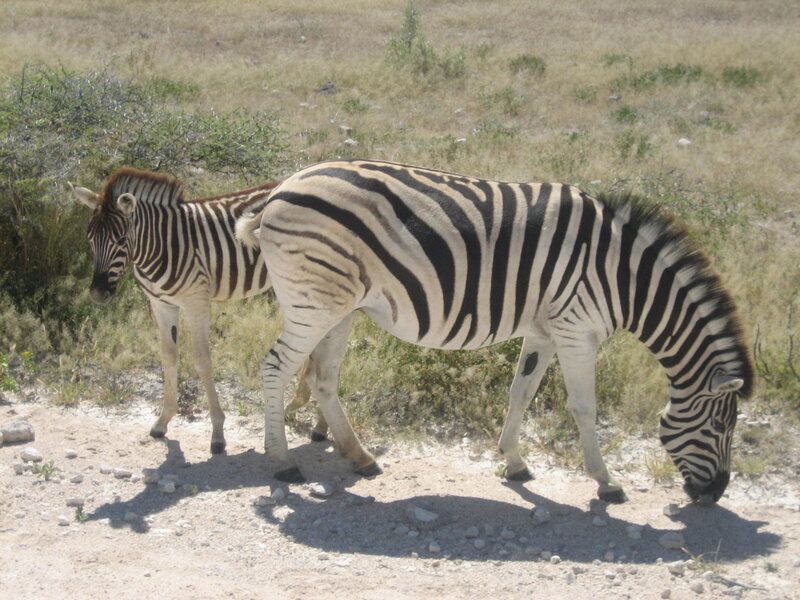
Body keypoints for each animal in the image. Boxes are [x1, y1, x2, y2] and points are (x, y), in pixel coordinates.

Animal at [70, 168, 319, 454]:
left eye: (121, 240)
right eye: (89, 239)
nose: (98, 294)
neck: (159, 245)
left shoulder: (196, 302)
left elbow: (202, 361)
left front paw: (218, 433)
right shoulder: (161, 304)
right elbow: (168, 357)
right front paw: (163, 421)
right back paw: (304, 407)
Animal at [237, 158, 753, 505]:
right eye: (721, 427)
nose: (715, 494)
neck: (623, 277)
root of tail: (281, 190)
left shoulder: (545, 330)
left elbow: (520, 393)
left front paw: (514, 462)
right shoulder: (576, 329)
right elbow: (584, 408)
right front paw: (606, 482)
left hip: (338, 306)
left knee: (323, 379)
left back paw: (359, 456)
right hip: (315, 301)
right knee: (276, 367)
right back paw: (283, 461)